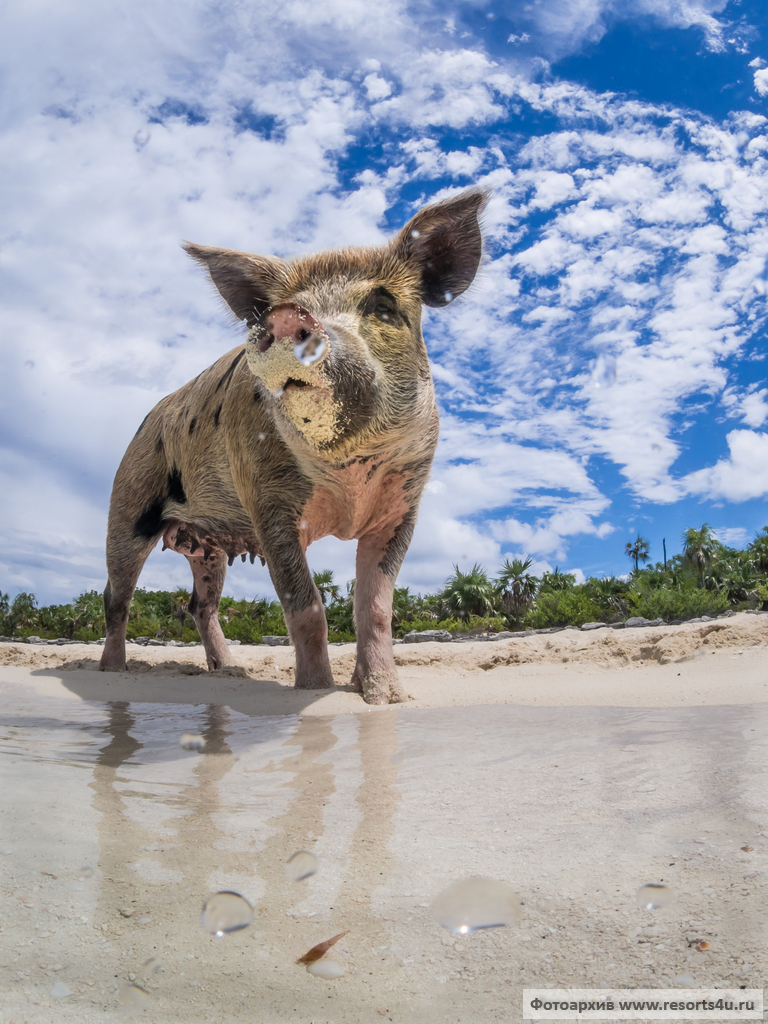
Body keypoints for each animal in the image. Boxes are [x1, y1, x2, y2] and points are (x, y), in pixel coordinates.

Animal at [100, 188, 487, 704]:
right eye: (286, 305)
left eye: (383, 306)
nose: (287, 317)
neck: (348, 471)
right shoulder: (269, 505)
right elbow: (305, 605)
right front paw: (313, 691)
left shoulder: (402, 505)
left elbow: (375, 607)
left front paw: (387, 697)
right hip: (128, 504)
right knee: (116, 596)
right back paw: (112, 672)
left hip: (208, 549)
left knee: (200, 605)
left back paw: (230, 672)